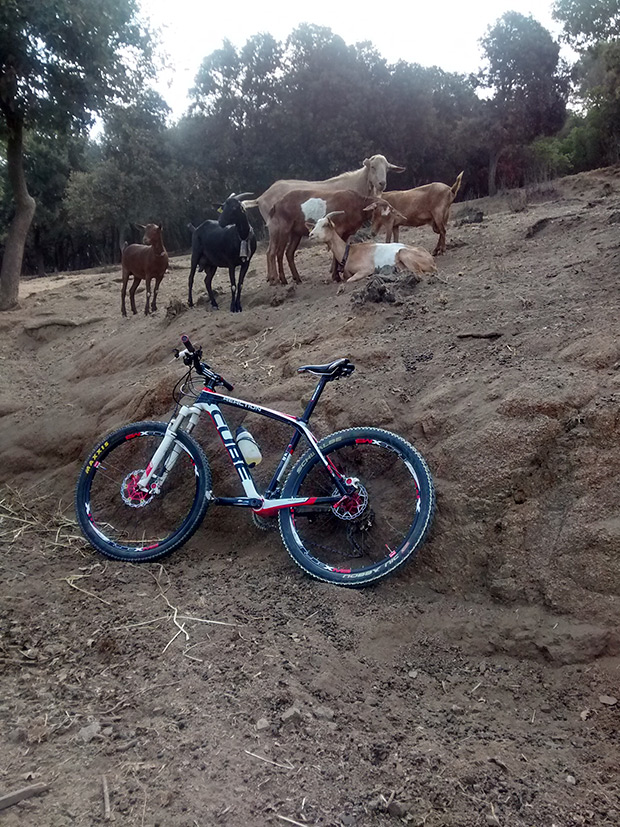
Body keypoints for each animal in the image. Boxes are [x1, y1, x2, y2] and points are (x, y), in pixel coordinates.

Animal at [266, 190, 406, 286]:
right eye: (382, 213)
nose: (374, 232)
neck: (356, 204)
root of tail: (276, 205)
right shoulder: (338, 229)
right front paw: (336, 276)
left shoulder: (347, 233)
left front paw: (337, 273)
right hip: (282, 230)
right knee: (276, 253)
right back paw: (280, 280)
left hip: (295, 233)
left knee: (288, 253)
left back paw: (296, 279)